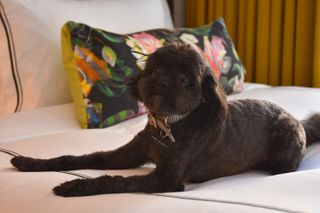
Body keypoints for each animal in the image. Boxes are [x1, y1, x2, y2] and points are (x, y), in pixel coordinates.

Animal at [10, 44, 320, 197]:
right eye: (155, 69)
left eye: (184, 80)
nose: (161, 82)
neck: (167, 125)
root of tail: (298, 122)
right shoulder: (128, 153)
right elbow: (80, 158)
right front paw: (30, 162)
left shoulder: (167, 179)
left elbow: (116, 180)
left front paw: (74, 187)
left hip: (283, 148)